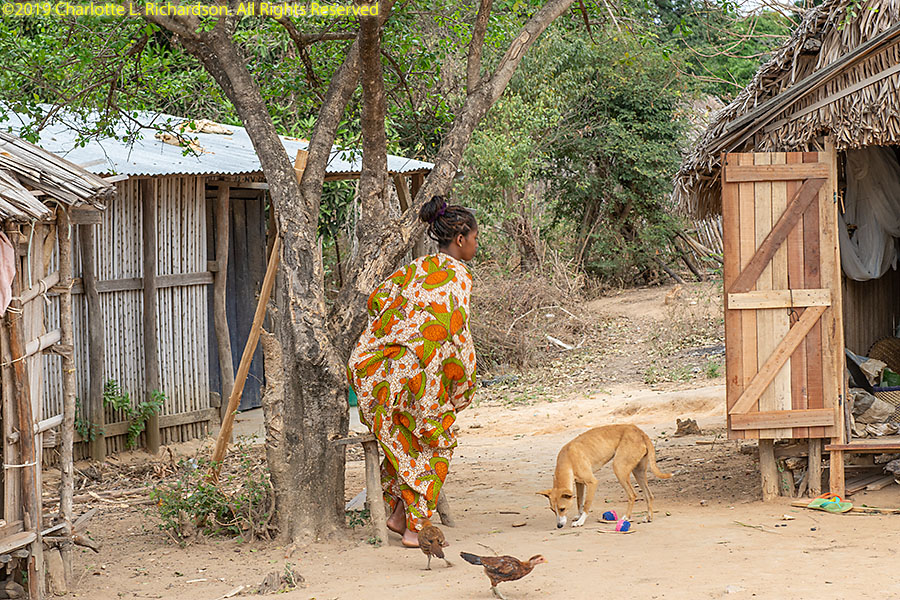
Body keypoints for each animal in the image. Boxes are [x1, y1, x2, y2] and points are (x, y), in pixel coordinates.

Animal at [538, 424, 672, 528]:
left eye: (562, 509)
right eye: (553, 510)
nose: (559, 526)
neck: (567, 459)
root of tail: (640, 431)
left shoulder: (592, 482)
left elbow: (586, 504)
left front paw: (581, 521)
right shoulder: (579, 483)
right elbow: (579, 501)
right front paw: (578, 516)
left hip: (619, 469)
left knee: (632, 495)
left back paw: (626, 517)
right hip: (638, 472)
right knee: (649, 495)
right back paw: (648, 517)